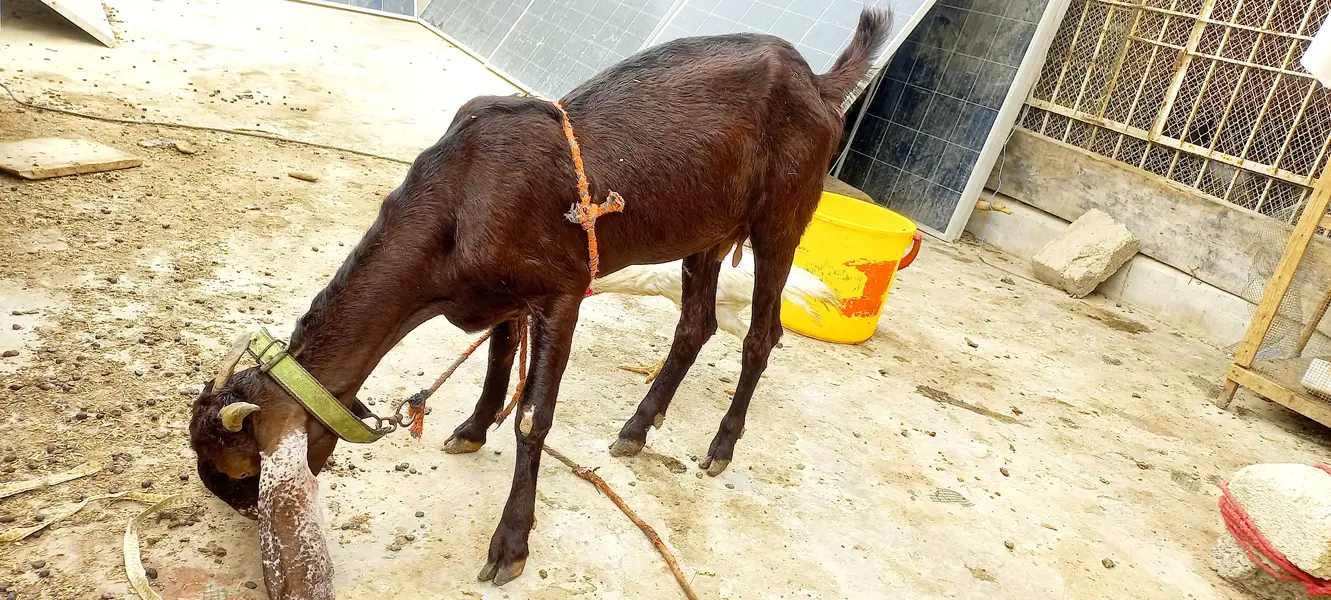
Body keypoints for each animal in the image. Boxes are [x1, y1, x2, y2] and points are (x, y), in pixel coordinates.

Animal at [189, 9, 890, 598]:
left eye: (243, 474)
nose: (245, 518)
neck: (459, 200)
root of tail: (816, 81)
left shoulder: (561, 290)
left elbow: (532, 415)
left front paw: (510, 545)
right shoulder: (502, 295)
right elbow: (499, 360)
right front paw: (473, 429)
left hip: (784, 216)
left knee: (761, 333)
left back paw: (721, 446)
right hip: (706, 232)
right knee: (696, 324)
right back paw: (637, 428)